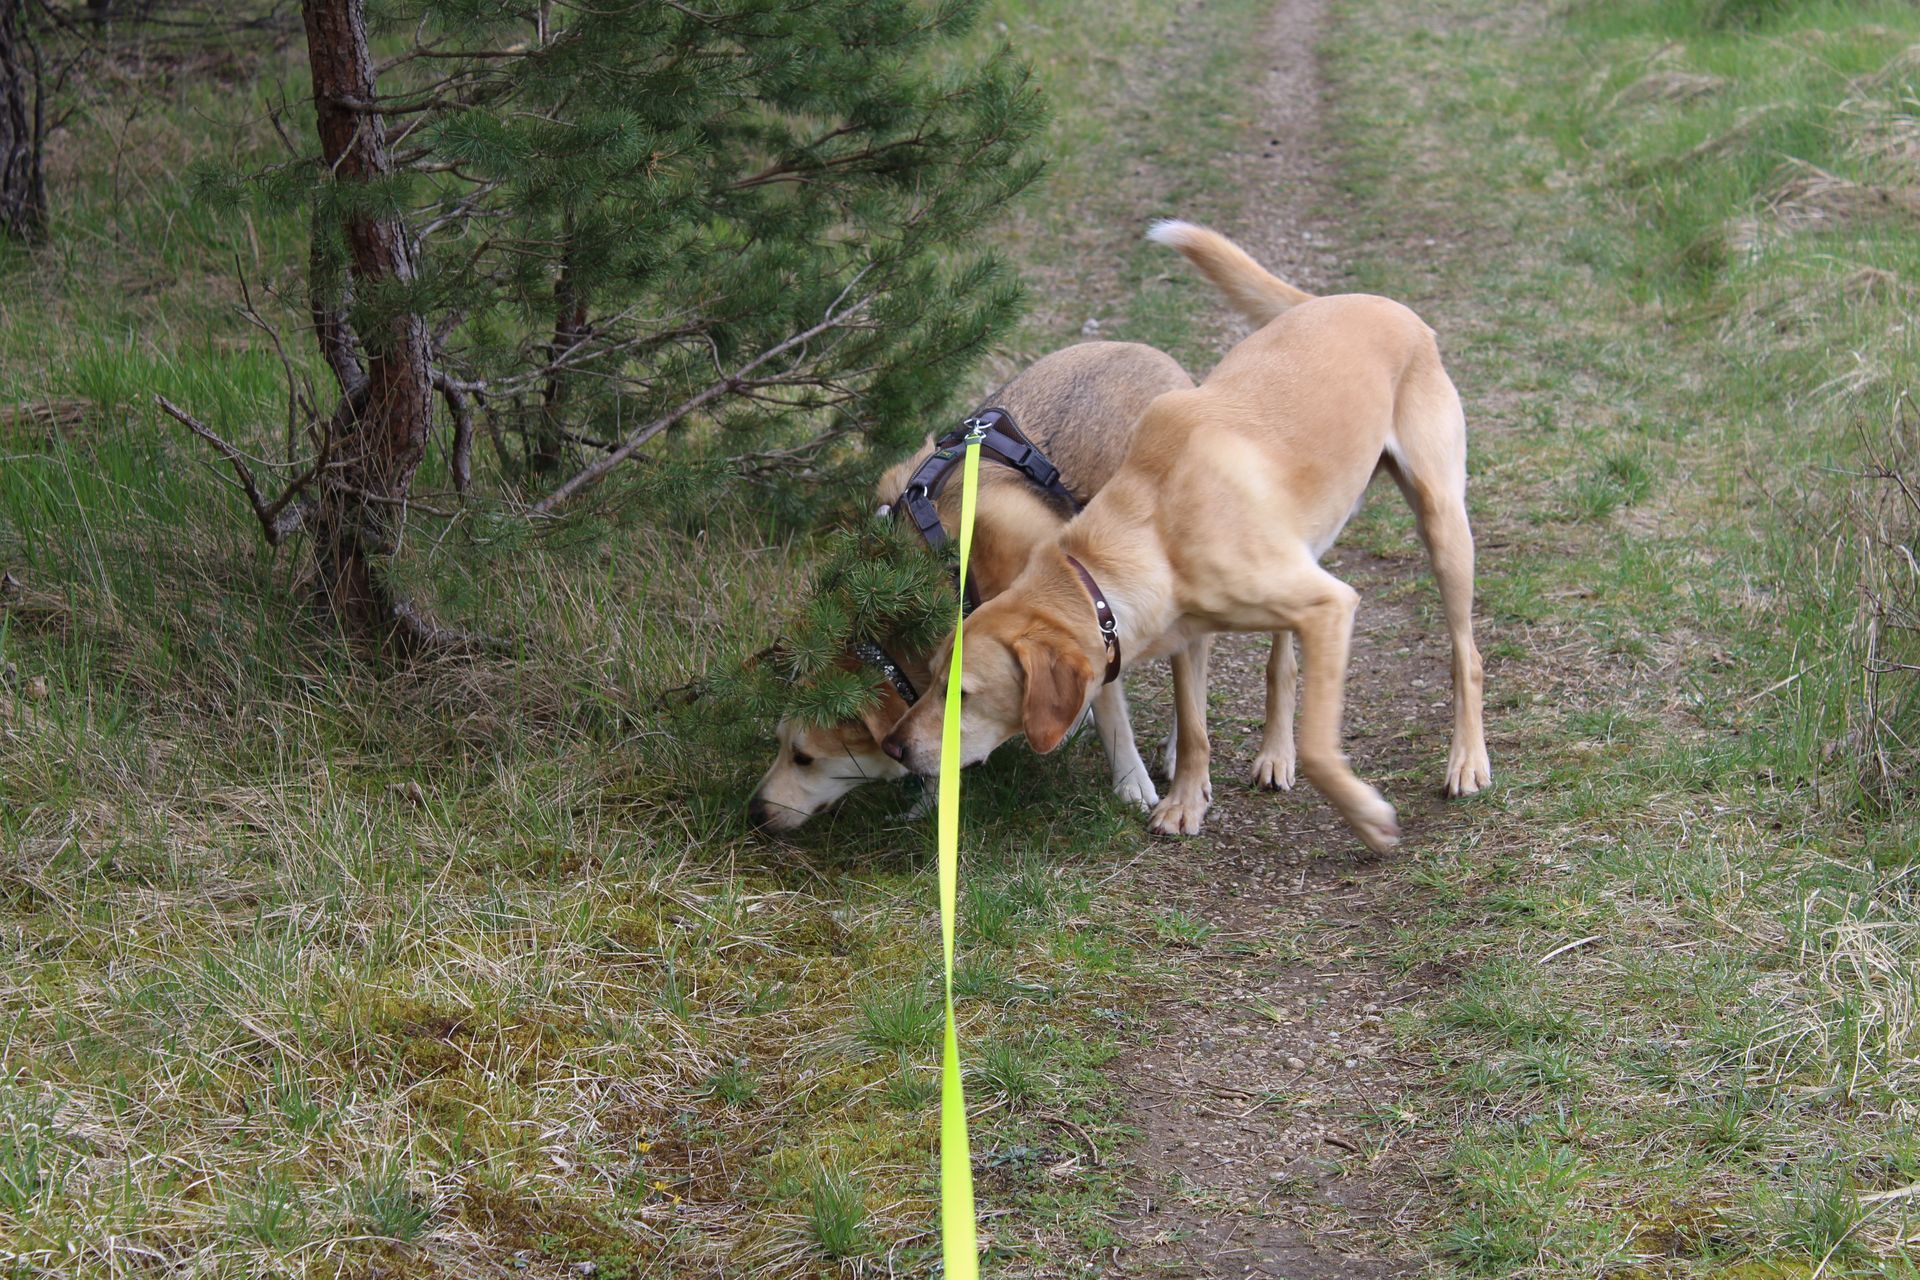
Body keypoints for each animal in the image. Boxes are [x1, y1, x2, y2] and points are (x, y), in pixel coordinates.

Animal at [748, 341, 1197, 832]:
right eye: (778, 744)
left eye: (804, 757)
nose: (753, 812)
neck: (941, 571)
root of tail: (1153, 353)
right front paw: (929, 798)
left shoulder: (1085, 613)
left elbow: (1112, 710)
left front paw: (1130, 780)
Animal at [882, 221, 1491, 852]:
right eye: (928, 679)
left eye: (962, 694)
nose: (893, 748)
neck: (1154, 523)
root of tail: (1366, 302)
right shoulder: (1193, 635)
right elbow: (1194, 725)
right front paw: (1186, 803)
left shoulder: (1331, 607)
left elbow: (1321, 748)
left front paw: (1368, 818)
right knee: (1283, 664)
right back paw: (1275, 752)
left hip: (1442, 528)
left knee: (1466, 656)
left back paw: (1467, 761)